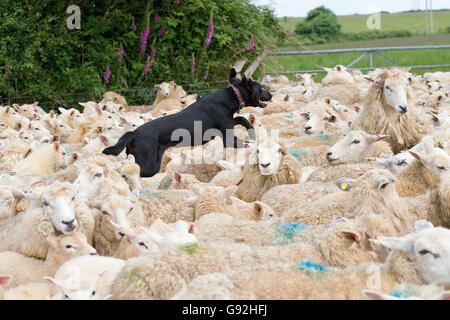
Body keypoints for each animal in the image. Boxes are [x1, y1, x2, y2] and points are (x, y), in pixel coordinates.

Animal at [102, 69, 270, 178]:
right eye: (261, 89)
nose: (271, 94)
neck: (231, 95)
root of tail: (134, 133)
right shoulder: (228, 139)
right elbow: (245, 142)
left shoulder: (228, 122)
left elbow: (242, 119)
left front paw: (251, 130)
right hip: (150, 165)